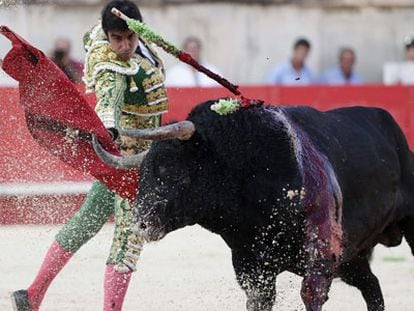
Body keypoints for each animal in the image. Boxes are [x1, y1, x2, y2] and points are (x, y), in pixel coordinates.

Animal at [93, 100, 414, 311]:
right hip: (351, 258)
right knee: (372, 287)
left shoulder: (320, 257)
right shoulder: (251, 267)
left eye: (171, 170)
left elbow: (311, 295)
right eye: (143, 174)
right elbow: (259, 301)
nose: (140, 223)